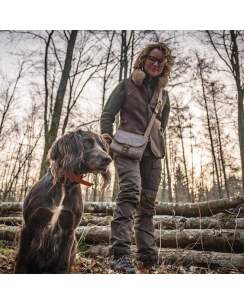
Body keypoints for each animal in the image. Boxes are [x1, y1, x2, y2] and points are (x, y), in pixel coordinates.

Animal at [14, 128, 111, 274]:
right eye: (87, 142)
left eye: (103, 146)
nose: (108, 159)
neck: (65, 184)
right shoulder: (29, 226)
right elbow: (21, 262)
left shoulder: (69, 232)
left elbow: (63, 265)